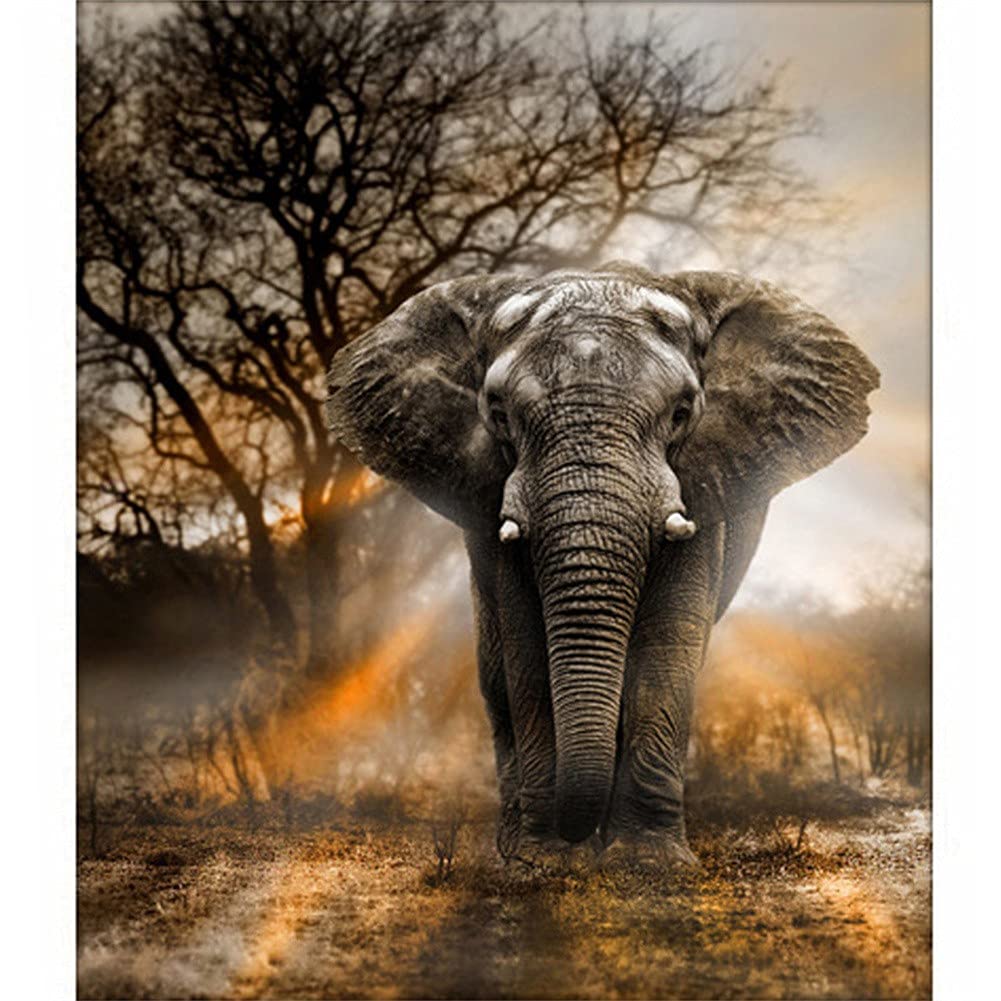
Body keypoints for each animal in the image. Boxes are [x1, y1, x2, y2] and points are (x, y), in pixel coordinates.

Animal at [325, 261, 879, 865]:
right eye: (498, 414)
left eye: (682, 413)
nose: (571, 834)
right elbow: (527, 646)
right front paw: (543, 863)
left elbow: (667, 642)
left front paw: (649, 864)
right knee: (495, 677)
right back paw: (515, 844)